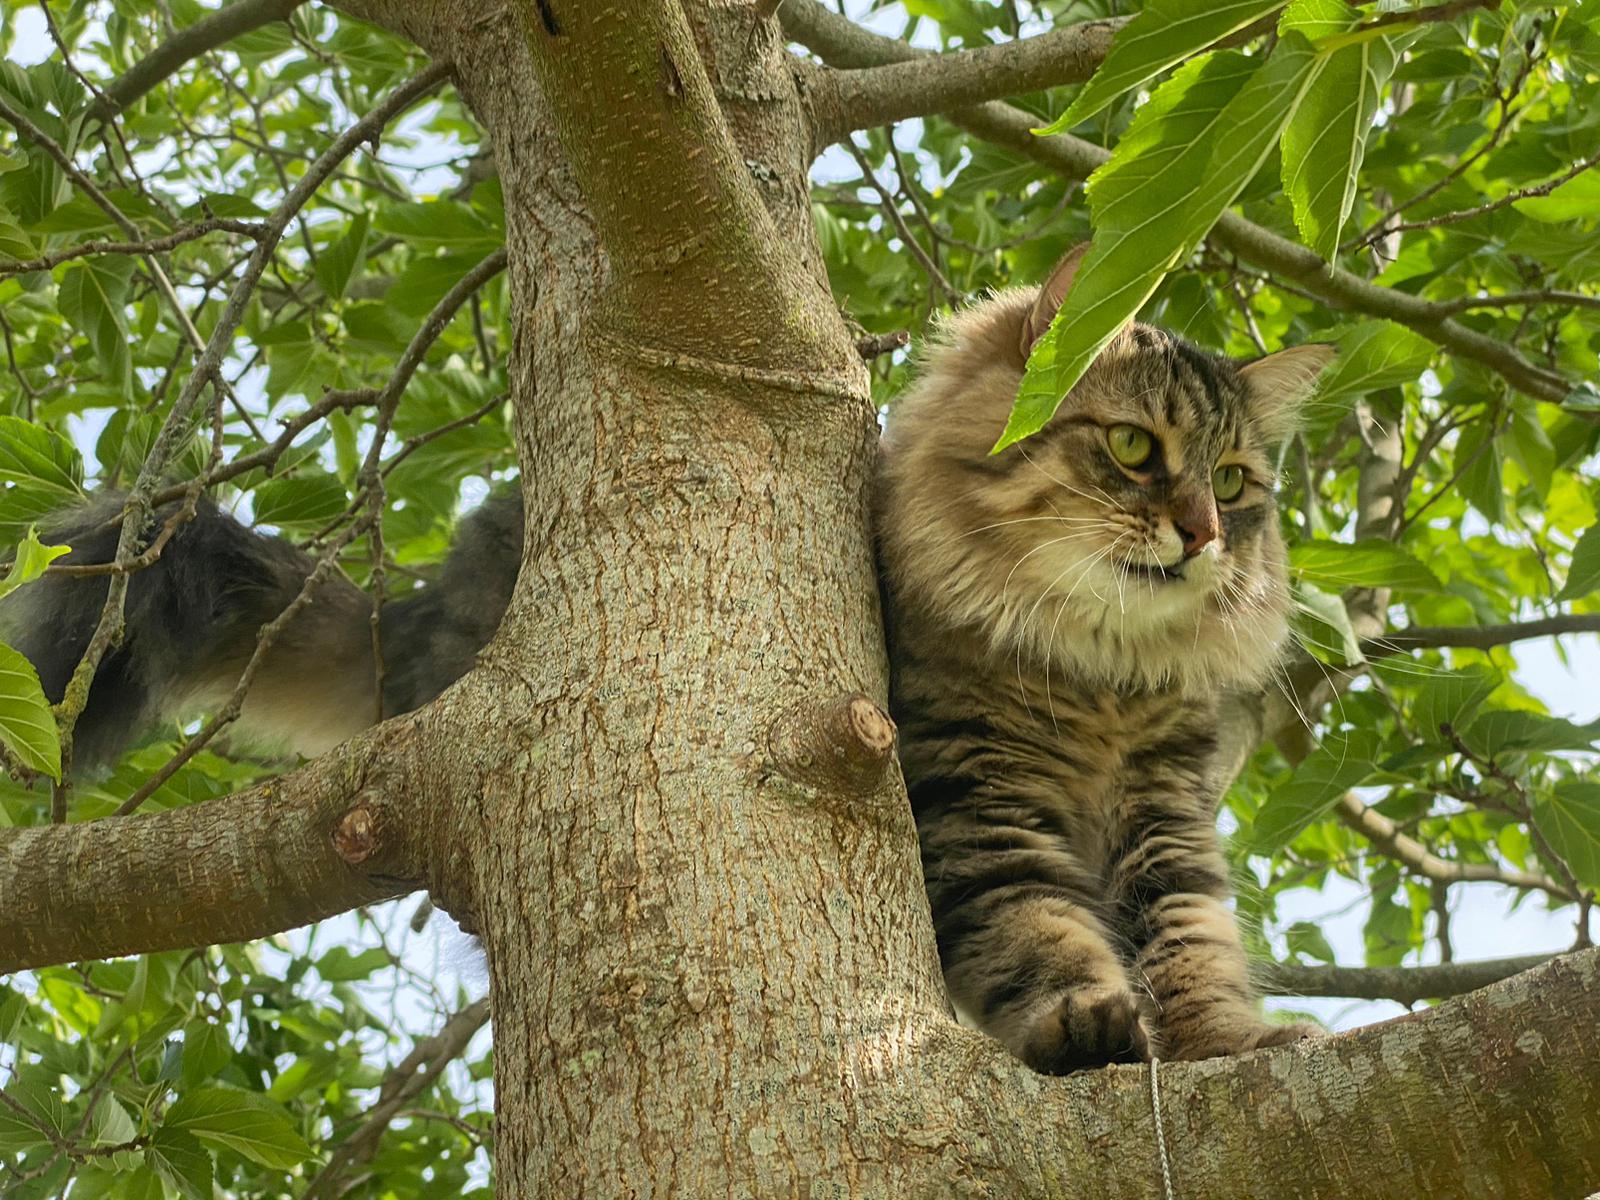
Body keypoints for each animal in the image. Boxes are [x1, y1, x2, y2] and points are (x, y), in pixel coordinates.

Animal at [876, 241, 1337, 1068]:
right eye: (1133, 446)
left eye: (1230, 482)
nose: (1203, 535)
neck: (1100, 675)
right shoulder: (976, 800)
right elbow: (1038, 925)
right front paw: (1086, 1021)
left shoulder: (1163, 814)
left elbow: (1192, 942)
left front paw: (1228, 1042)